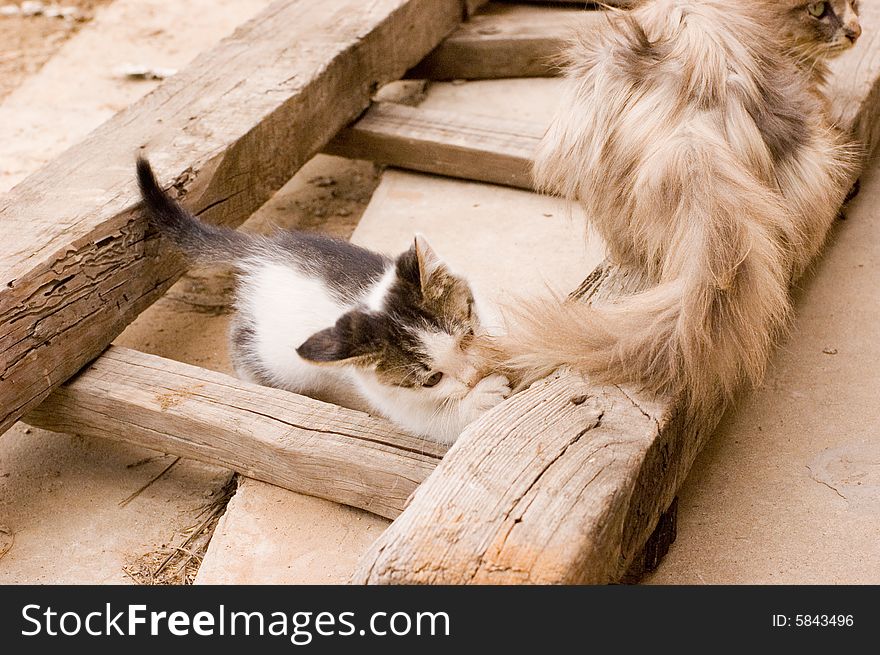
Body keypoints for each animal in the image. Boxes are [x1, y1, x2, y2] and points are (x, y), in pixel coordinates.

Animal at [136, 159, 508, 446]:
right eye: (432, 380)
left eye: (467, 337)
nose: (475, 375)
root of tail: (262, 251)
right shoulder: (392, 398)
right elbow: (435, 422)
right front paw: (482, 397)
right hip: (275, 354)